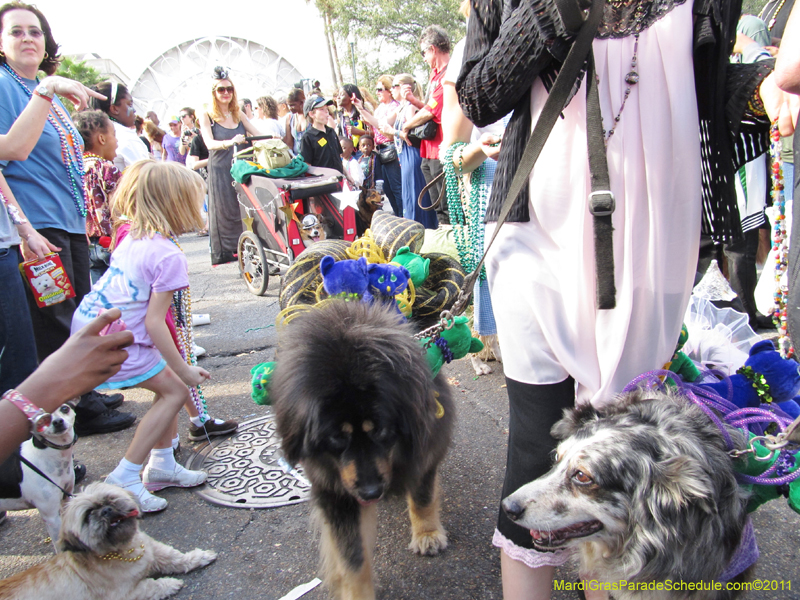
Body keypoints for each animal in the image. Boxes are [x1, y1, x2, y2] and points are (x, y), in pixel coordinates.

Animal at [272, 302, 454, 596]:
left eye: (379, 430)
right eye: (336, 437)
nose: (371, 492)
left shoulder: (424, 450)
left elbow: (423, 497)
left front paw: (427, 534)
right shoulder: (335, 490)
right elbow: (353, 559)